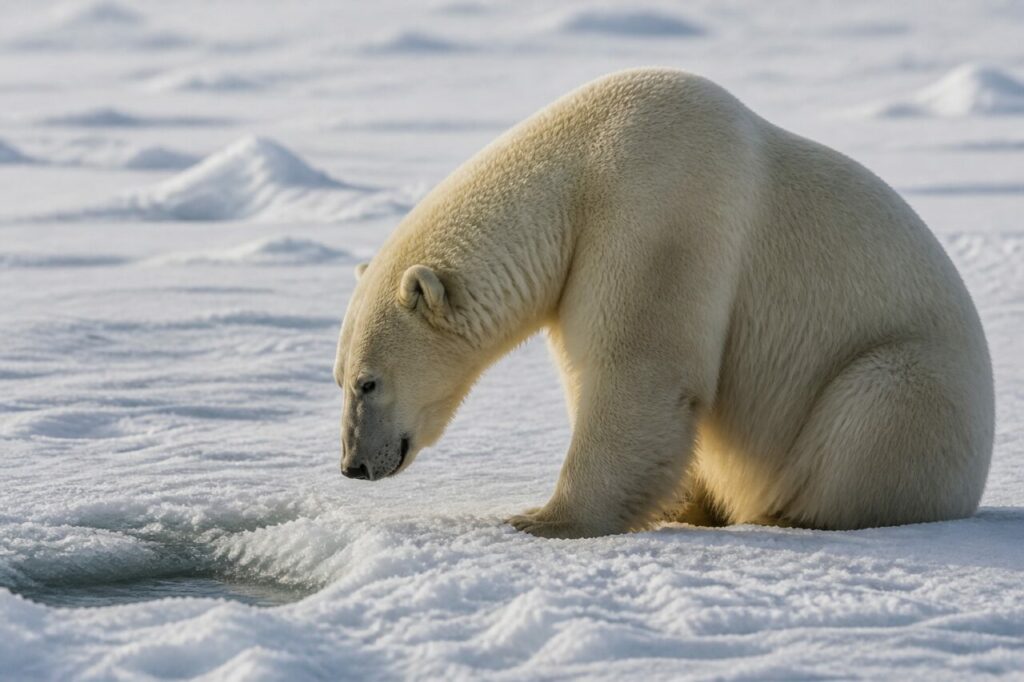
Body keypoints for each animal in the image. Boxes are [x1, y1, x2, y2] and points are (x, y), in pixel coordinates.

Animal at [334, 68, 994, 538]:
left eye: (368, 382)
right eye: (339, 377)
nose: (352, 466)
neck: (578, 170)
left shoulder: (655, 212)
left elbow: (638, 372)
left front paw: (544, 519)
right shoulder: (580, 268)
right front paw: (673, 506)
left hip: (911, 382)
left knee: (870, 419)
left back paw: (782, 515)